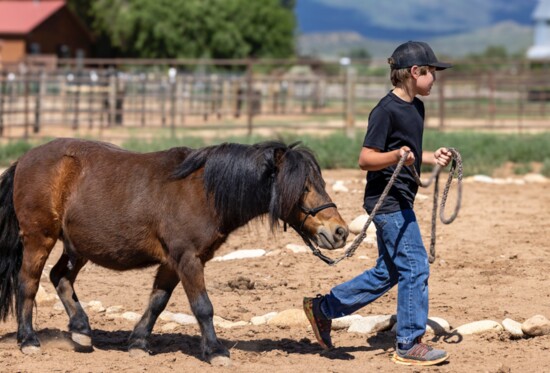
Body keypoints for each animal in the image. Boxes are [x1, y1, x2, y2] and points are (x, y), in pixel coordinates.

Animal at [0, 137, 350, 364]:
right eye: (303, 187)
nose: (340, 232)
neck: (204, 192)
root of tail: (25, 160)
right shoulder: (188, 259)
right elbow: (203, 307)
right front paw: (216, 351)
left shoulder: (172, 262)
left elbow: (157, 302)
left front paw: (139, 343)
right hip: (40, 238)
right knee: (28, 283)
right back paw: (28, 340)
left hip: (77, 247)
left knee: (60, 277)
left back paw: (82, 331)